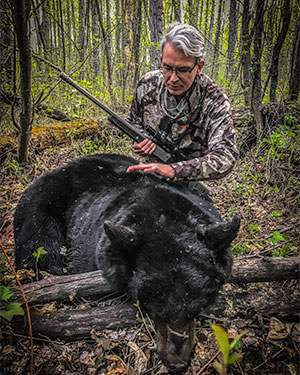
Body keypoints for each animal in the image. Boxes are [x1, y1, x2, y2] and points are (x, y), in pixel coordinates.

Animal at [14, 153, 240, 374]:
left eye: (198, 304)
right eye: (153, 304)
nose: (177, 364)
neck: (161, 213)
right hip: (46, 195)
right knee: (38, 241)